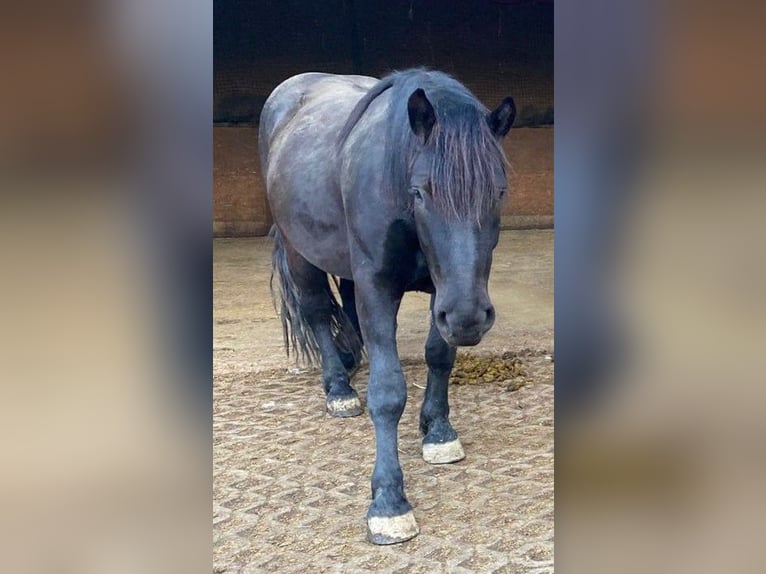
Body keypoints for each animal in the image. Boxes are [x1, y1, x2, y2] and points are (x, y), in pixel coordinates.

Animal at [260, 70, 520, 548]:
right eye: (420, 192)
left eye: (498, 191)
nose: (471, 318)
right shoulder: (379, 290)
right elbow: (387, 392)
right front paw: (388, 501)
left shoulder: (444, 291)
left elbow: (439, 356)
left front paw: (437, 431)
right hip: (300, 254)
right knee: (315, 311)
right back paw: (339, 389)